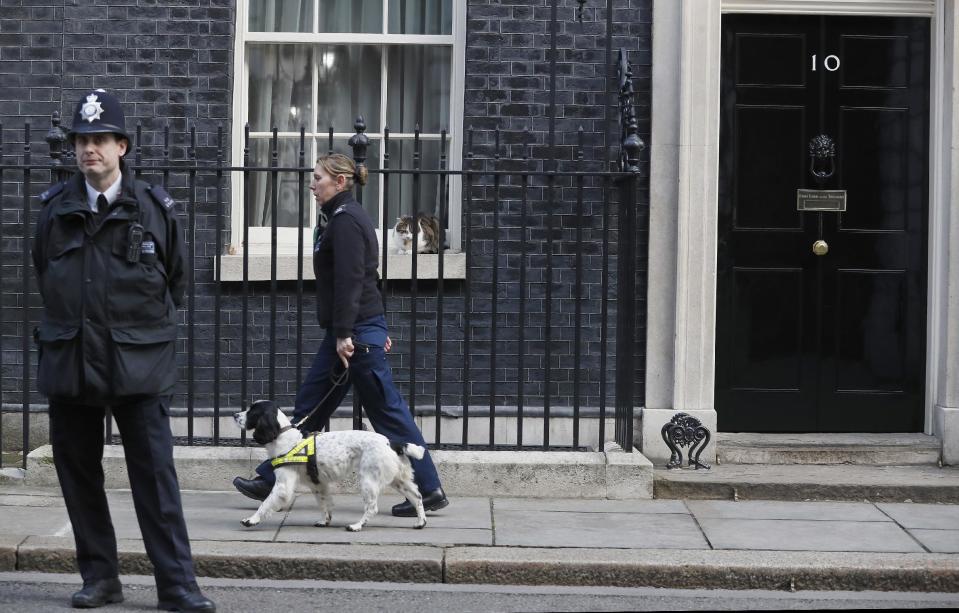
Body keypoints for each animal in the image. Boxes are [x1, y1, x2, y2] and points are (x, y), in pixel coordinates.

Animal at [234, 402, 426, 532]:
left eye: (252, 411)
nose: (235, 415)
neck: (284, 437)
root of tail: (392, 442)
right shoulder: (318, 484)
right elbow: (324, 503)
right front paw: (325, 521)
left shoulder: (283, 485)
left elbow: (265, 503)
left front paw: (251, 520)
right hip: (399, 480)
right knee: (417, 497)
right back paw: (420, 522)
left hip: (368, 480)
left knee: (372, 507)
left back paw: (356, 526)